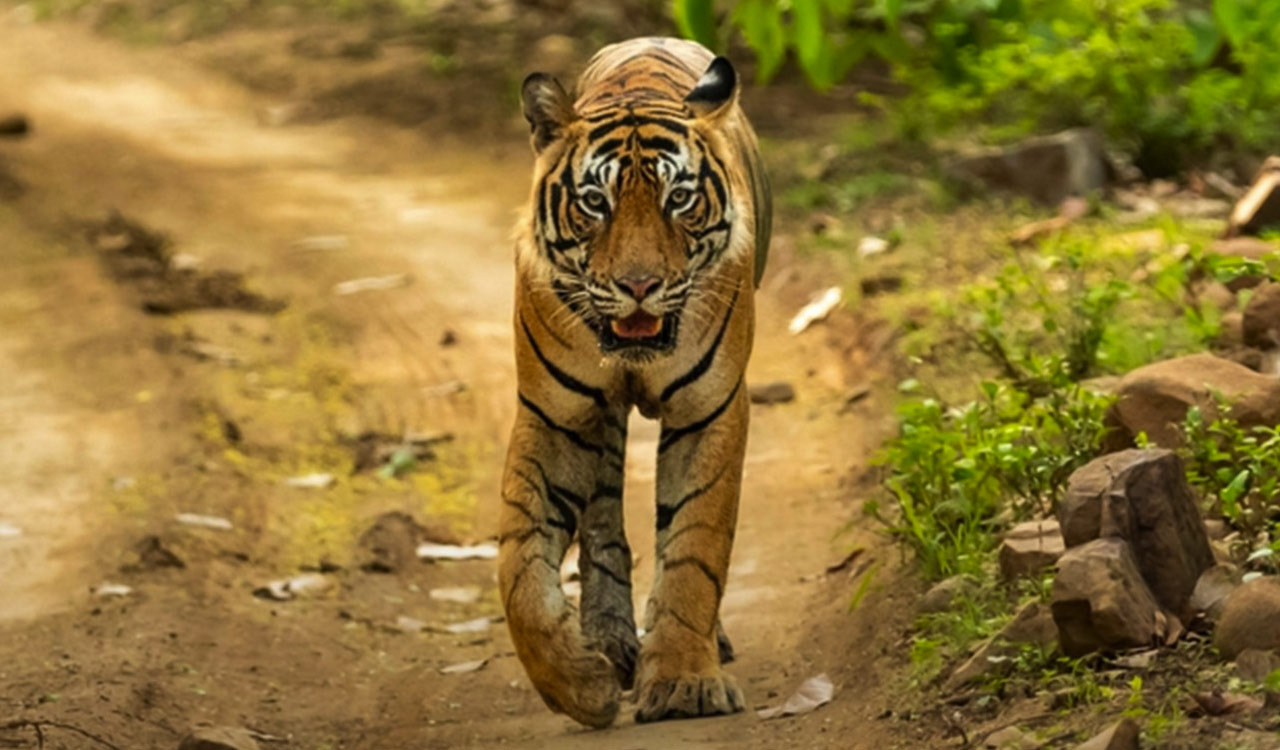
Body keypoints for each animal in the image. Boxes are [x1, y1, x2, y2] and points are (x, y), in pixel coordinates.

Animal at [497, 36, 771, 728]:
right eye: (596, 202)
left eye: (679, 199)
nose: (640, 285)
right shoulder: (552, 415)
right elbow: (518, 567)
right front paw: (580, 687)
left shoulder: (710, 410)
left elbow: (696, 548)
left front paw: (683, 682)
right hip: (597, 422)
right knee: (601, 520)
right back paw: (609, 640)